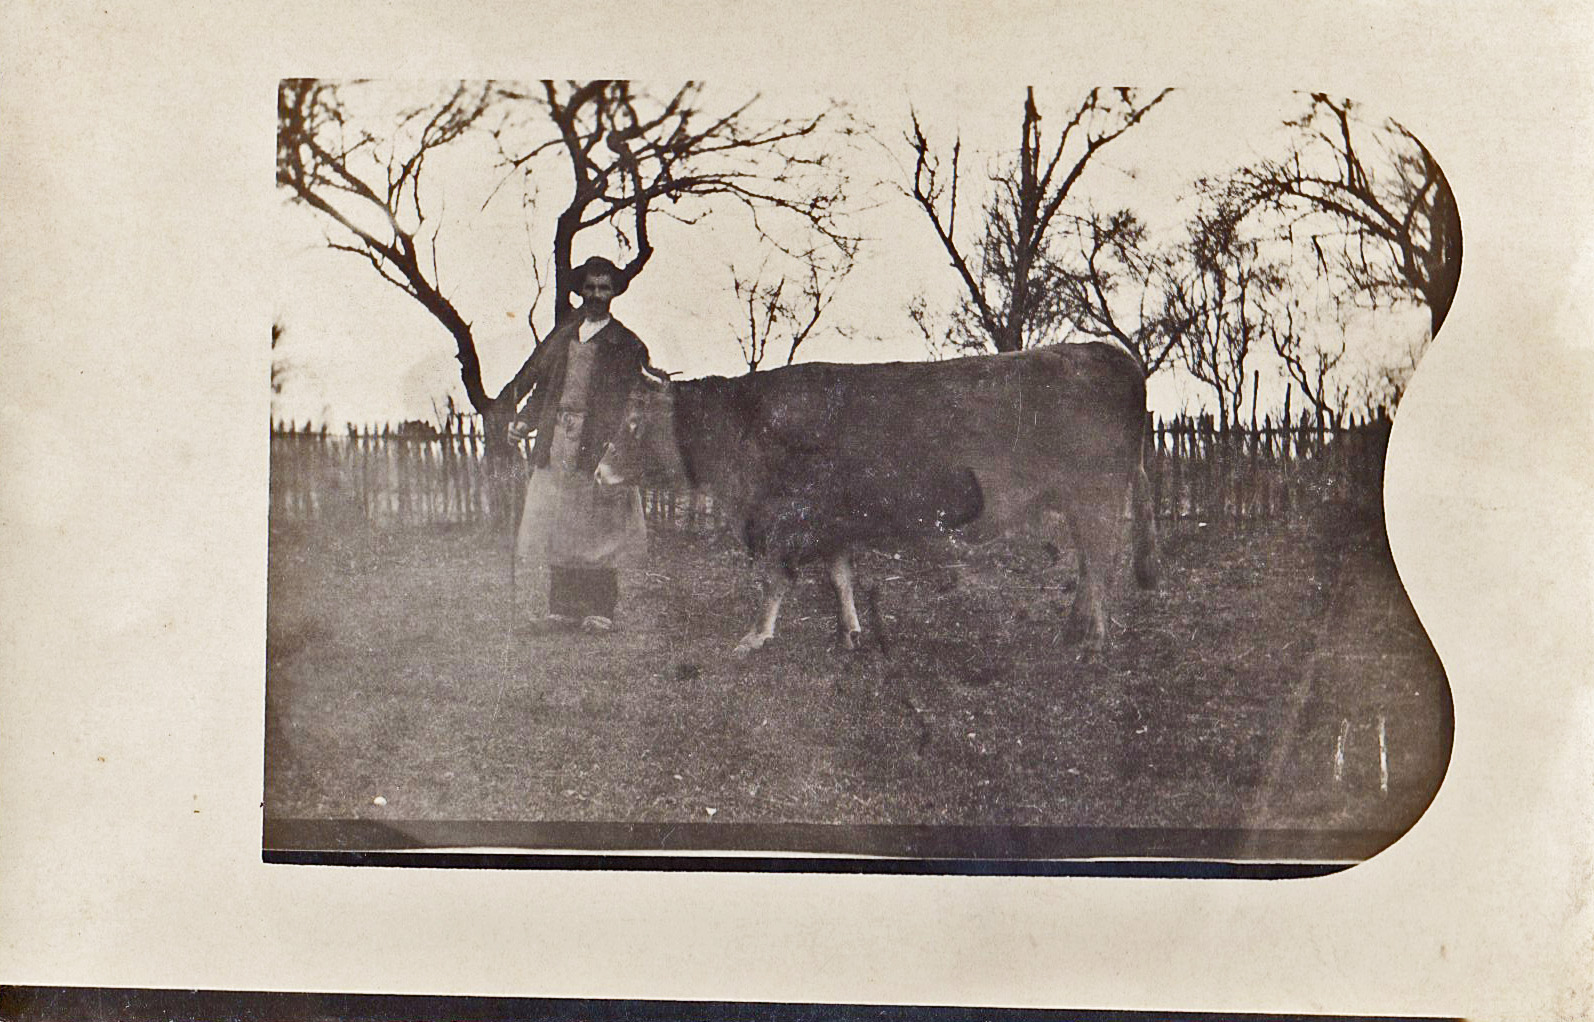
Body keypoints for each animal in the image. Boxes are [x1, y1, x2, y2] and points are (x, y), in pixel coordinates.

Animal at [594, 341, 1159, 656]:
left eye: (633, 421)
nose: (598, 471)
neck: (746, 425)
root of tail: (1105, 351)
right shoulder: (832, 522)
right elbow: (840, 577)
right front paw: (850, 634)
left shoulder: (783, 519)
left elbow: (774, 580)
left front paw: (754, 637)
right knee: (1089, 565)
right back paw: (1073, 632)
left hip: (1097, 497)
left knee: (1101, 564)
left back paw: (1093, 640)